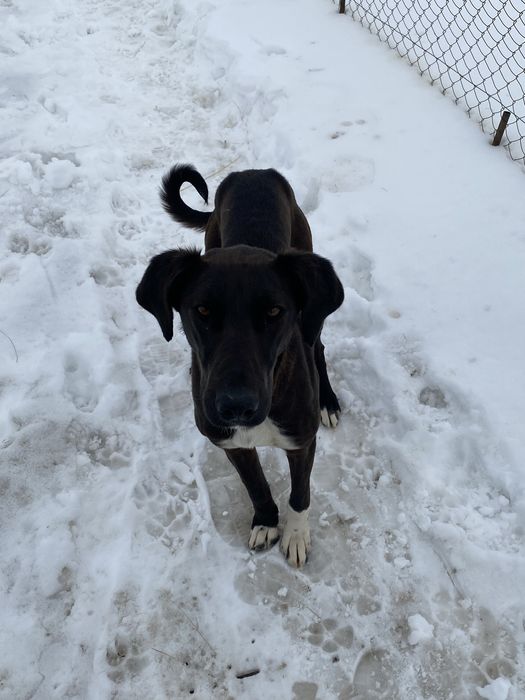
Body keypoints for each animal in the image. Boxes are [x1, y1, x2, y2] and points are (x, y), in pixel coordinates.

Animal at [136, 164, 344, 567]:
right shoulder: (230, 443)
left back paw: (328, 401)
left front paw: (295, 535)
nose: (235, 405)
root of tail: (255, 171)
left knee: (319, 345)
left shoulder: (301, 441)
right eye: (202, 310)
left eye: (275, 311)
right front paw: (265, 522)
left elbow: (300, 494)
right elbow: (256, 485)